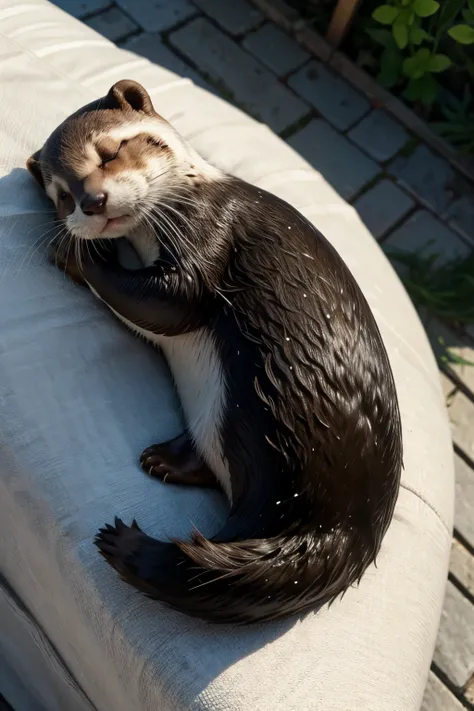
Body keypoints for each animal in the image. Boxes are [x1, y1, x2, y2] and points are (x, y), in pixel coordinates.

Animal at [26, 79, 404, 624]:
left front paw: (81, 257)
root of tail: (353, 523)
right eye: (61, 195)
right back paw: (163, 461)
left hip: (257, 409)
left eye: (110, 150)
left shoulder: (210, 227)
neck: (191, 193)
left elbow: (173, 301)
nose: (92, 200)